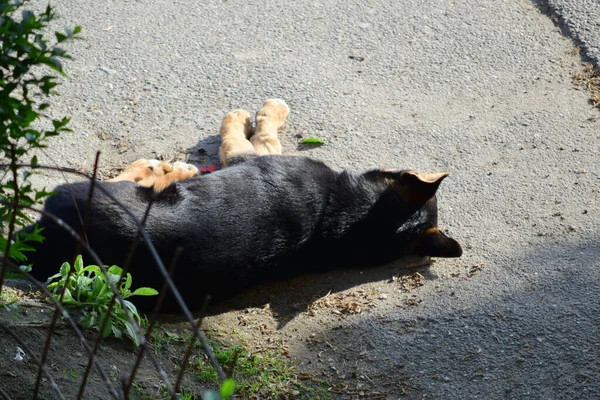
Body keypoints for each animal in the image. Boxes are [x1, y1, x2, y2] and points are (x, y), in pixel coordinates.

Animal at [24, 98, 464, 310]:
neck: (354, 216)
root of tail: (48, 241)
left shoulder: (248, 154)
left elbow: (252, 132)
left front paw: (262, 112)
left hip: (83, 190)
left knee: (124, 178)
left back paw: (162, 169)